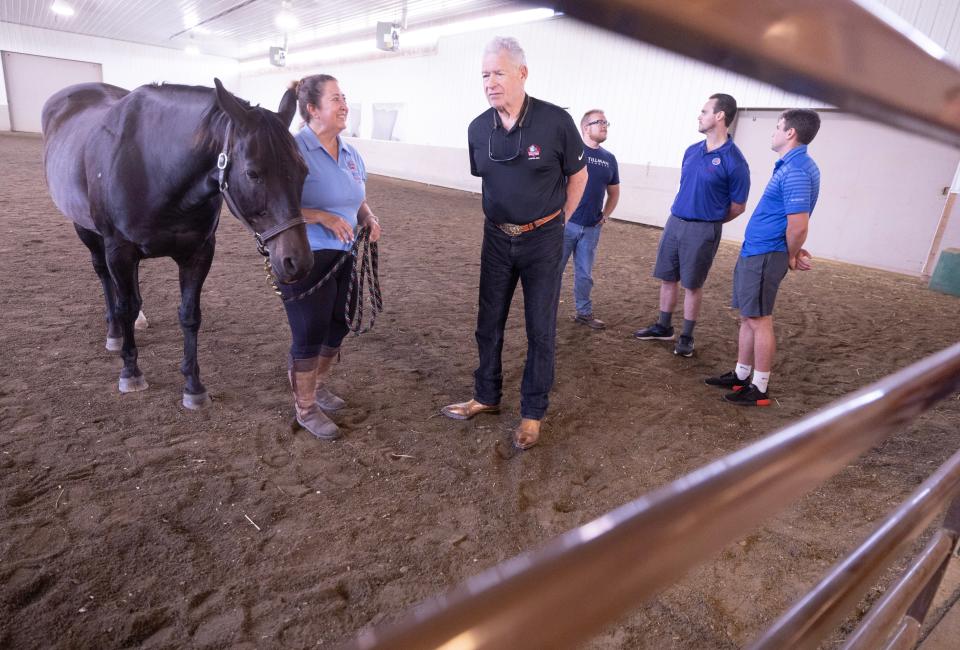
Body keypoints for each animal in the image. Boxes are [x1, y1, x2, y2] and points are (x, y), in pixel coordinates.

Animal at [42, 78, 312, 408]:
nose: (297, 261)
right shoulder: (119, 250)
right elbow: (125, 306)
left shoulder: (198, 253)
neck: (153, 167)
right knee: (105, 279)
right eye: (252, 173)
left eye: (304, 171)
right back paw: (115, 332)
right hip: (88, 232)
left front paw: (193, 385)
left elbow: (189, 315)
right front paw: (130, 372)